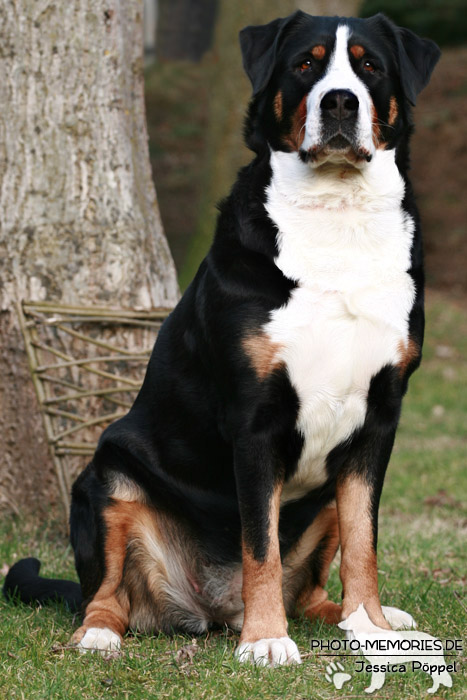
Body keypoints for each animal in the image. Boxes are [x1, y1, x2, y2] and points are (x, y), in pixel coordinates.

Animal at [3, 12, 440, 668]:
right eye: (306, 64)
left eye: (369, 66)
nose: (340, 101)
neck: (337, 214)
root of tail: (211, 608)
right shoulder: (254, 419)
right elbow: (260, 544)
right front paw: (265, 639)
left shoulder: (379, 418)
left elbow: (364, 543)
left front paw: (374, 630)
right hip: (107, 478)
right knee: (106, 596)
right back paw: (102, 635)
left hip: (324, 495)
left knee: (311, 591)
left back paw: (368, 619)